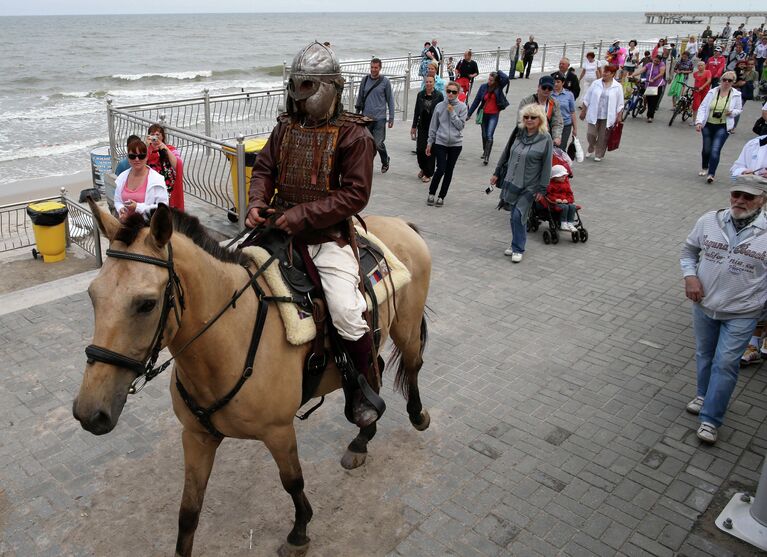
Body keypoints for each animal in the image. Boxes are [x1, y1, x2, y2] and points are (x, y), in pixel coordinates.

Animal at [73, 201, 432, 556]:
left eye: (146, 304)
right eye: (92, 295)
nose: (89, 412)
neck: (231, 338)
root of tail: (399, 223)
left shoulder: (279, 432)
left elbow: (293, 481)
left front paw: (299, 532)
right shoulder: (196, 437)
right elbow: (188, 511)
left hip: (406, 328)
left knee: (411, 364)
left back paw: (414, 415)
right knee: (372, 370)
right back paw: (362, 434)